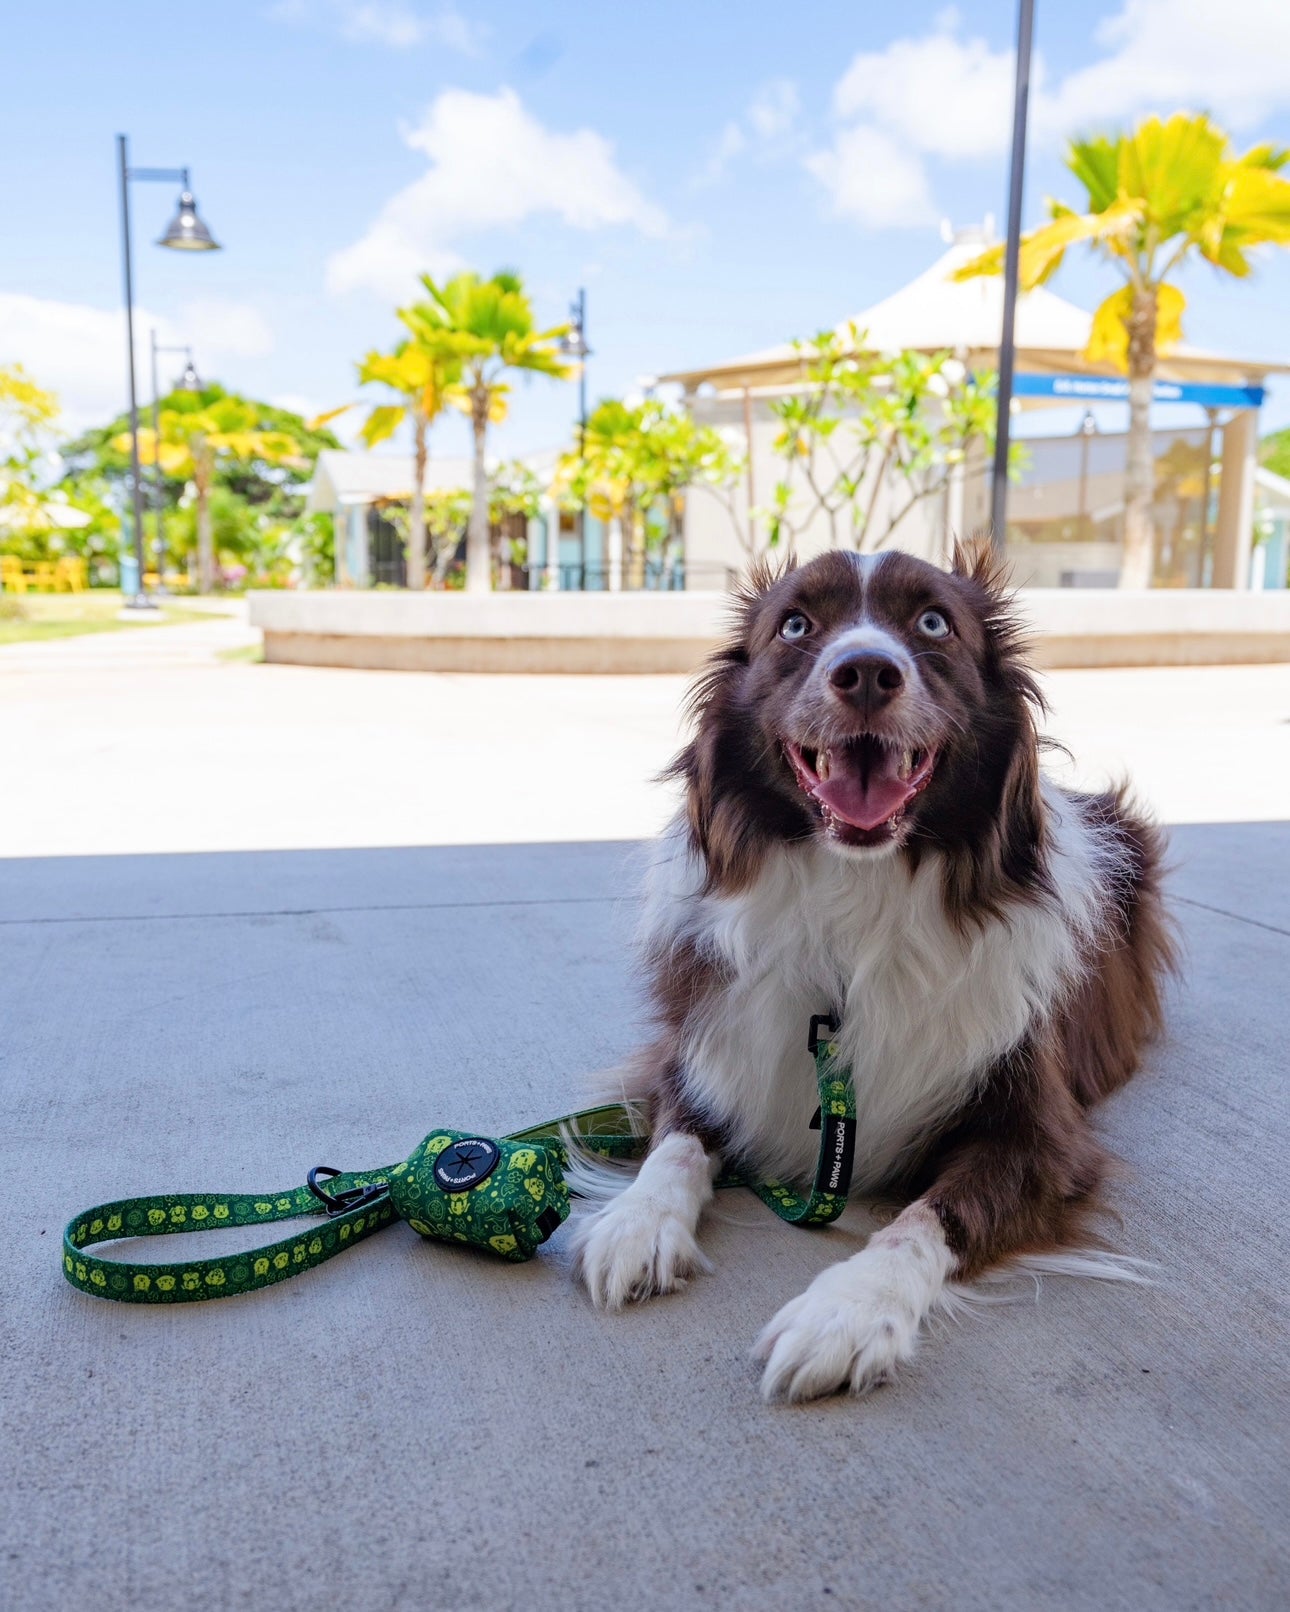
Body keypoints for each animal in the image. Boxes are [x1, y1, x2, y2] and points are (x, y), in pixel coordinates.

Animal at [569, 542, 1174, 1401]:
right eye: (794, 625)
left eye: (934, 623)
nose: (863, 672)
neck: (857, 899)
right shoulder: (704, 1049)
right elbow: (677, 1142)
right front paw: (637, 1220)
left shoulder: (1044, 1138)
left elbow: (925, 1218)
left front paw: (847, 1313)